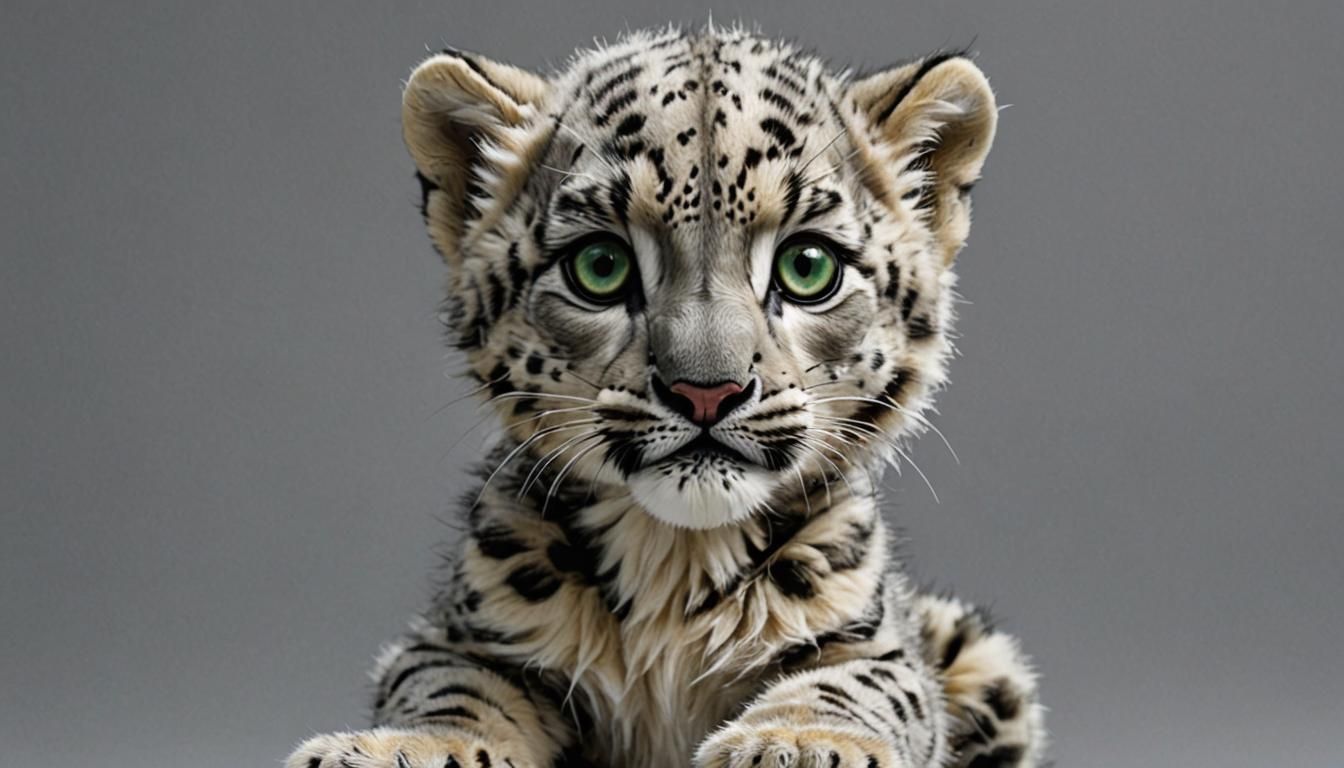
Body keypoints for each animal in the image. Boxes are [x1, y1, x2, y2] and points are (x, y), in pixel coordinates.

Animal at [288, 24, 1045, 768]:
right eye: (600, 265)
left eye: (808, 266)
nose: (706, 392)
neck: (673, 562)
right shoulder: (458, 633)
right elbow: (447, 689)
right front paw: (400, 747)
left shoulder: (874, 638)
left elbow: (860, 685)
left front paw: (798, 741)